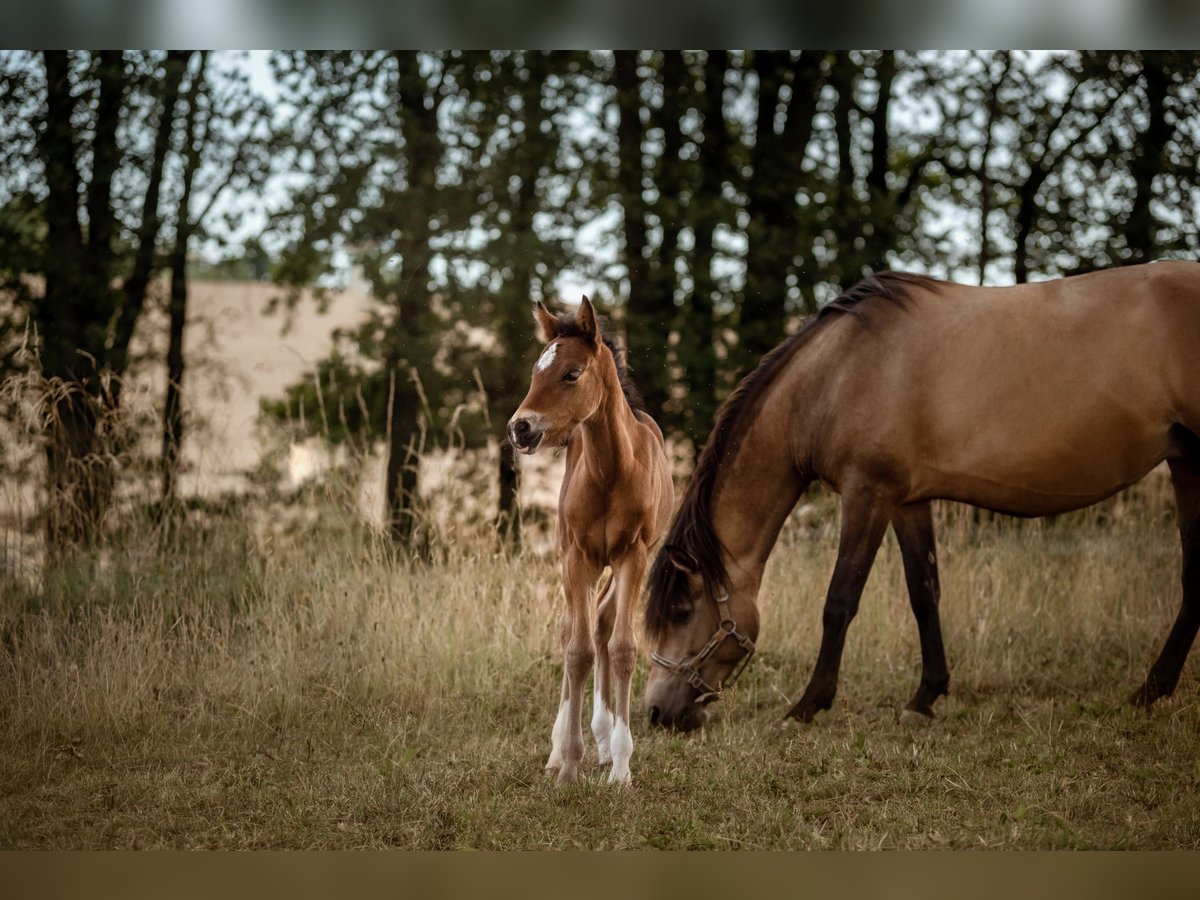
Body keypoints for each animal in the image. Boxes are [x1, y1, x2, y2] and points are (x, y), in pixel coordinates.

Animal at [508, 300, 676, 787]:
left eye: (572, 373)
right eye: (536, 371)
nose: (520, 428)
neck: (611, 472)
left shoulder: (632, 556)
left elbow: (621, 647)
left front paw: (620, 767)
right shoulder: (578, 557)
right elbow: (577, 651)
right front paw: (568, 764)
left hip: (619, 563)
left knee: (601, 621)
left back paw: (604, 740)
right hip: (575, 561)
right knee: (573, 629)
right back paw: (559, 748)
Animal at [648, 259, 1200, 734]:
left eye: (681, 612)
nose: (656, 713)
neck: (836, 376)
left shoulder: (867, 494)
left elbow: (839, 601)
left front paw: (808, 704)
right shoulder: (907, 501)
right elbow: (924, 592)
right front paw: (925, 696)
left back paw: (1150, 690)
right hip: (1186, 461)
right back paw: (1152, 690)